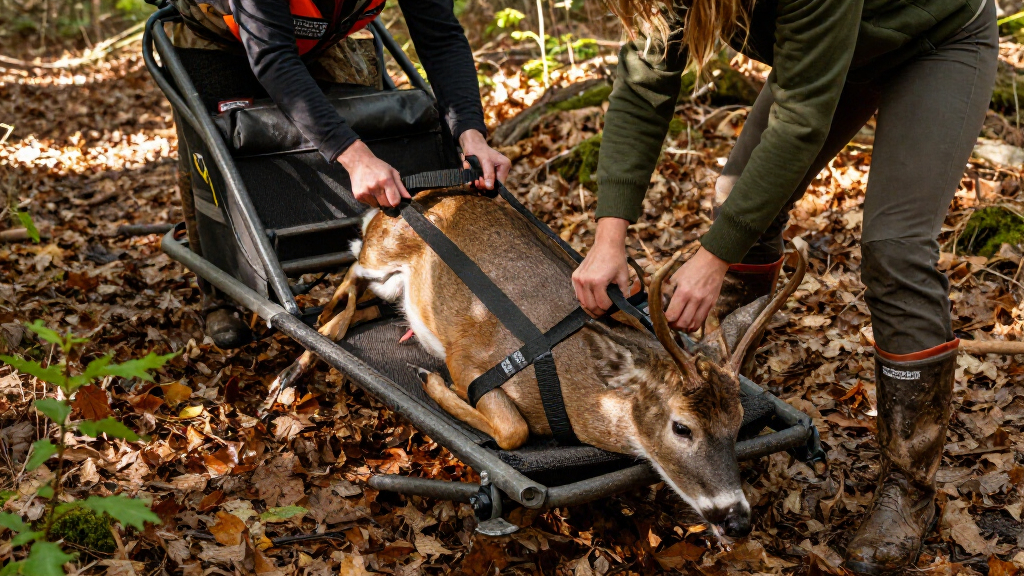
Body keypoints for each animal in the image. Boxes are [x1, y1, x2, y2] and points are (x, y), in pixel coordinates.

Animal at [270, 188, 806, 539]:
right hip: (379, 253)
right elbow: (513, 431)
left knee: (355, 307)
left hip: (389, 286)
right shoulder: (469, 356)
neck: (575, 395)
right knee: (339, 291)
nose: (737, 520)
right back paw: (289, 371)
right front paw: (432, 382)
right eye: (681, 426)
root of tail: (416, 193)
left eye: (738, 422)